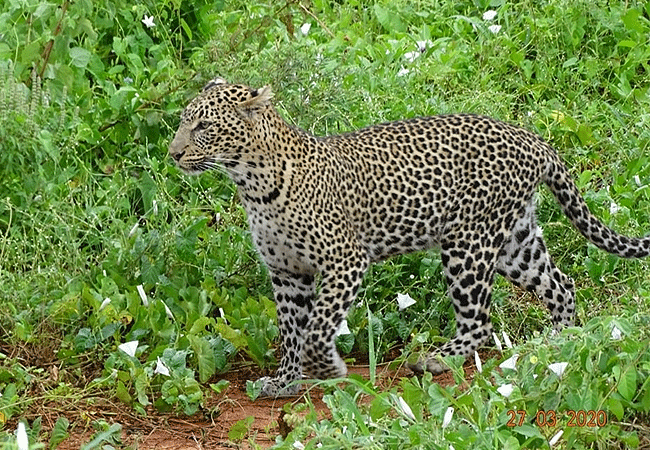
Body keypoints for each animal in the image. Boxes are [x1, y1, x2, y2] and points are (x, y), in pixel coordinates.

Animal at [168, 78, 650, 398]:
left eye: (203, 127)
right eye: (183, 124)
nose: (173, 154)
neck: (251, 183)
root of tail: (533, 138)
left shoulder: (345, 261)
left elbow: (317, 327)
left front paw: (328, 369)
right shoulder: (287, 272)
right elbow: (291, 332)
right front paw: (285, 382)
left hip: (468, 245)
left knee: (480, 320)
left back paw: (440, 358)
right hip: (515, 242)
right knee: (561, 284)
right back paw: (557, 346)